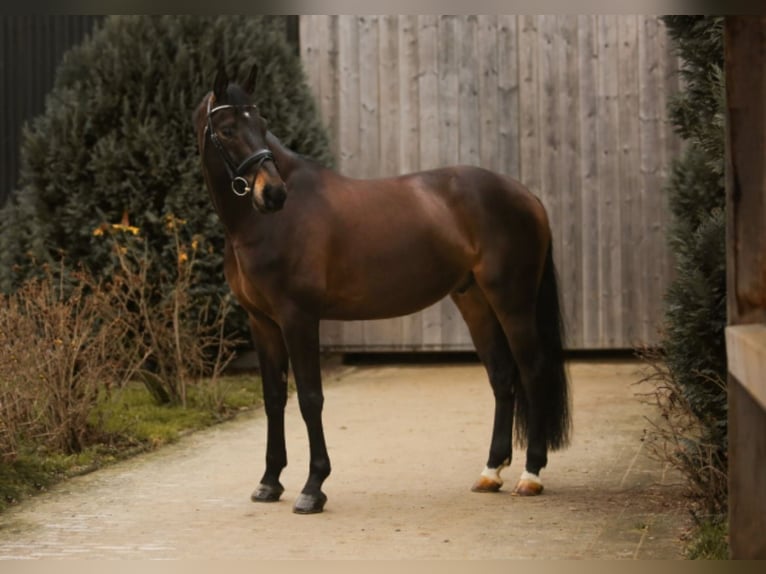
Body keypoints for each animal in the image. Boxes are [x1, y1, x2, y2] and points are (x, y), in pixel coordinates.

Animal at [195, 65, 572, 516]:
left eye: (262, 124)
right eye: (228, 129)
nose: (272, 193)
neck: (264, 224)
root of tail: (526, 195)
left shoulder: (298, 317)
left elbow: (310, 397)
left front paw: (313, 487)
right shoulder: (262, 322)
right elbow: (274, 398)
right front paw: (269, 482)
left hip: (512, 300)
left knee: (533, 371)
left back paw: (531, 475)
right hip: (475, 301)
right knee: (502, 376)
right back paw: (490, 472)